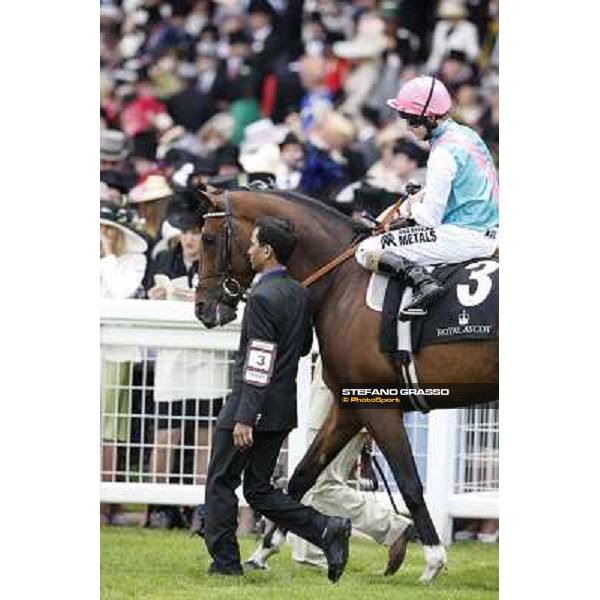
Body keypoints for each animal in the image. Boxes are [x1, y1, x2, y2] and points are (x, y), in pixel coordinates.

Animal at [195, 188, 500, 580]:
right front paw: (265, 550)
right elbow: (302, 475)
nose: (202, 307)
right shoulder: (348, 407)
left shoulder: (376, 405)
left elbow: (409, 482)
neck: (343, 283)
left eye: (208, 238)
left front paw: (433, 560)